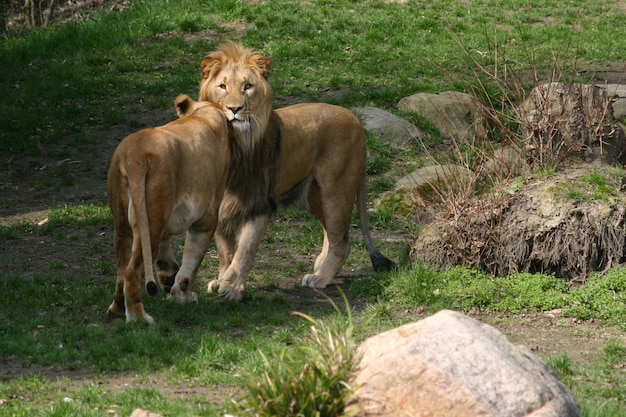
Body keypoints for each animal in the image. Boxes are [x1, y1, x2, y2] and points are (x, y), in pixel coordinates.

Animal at [106, 93, 230, 322]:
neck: (204, 113)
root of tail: (135, 154)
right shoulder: (206, 219)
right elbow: (192, 261)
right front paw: (184, 296)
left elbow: (167, 256)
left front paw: (169, 280)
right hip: (151, 218)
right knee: (132, 271)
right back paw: (139, 319)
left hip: (126, 221)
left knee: (121, 269)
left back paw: (116, 309)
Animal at [197, 41, 392, 302]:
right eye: (222, 86)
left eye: (247, 87)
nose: (234, 108)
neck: (235, 144)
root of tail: (357, 121)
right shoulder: (222, 206)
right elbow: (225, 251)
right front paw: (221, 280)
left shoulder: (258, 206)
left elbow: (244, 251)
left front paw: (232, 288)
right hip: (313, 195)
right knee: (333, 232)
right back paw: (321, 265)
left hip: (336, 189)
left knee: (342, 240)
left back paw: (322, 277)